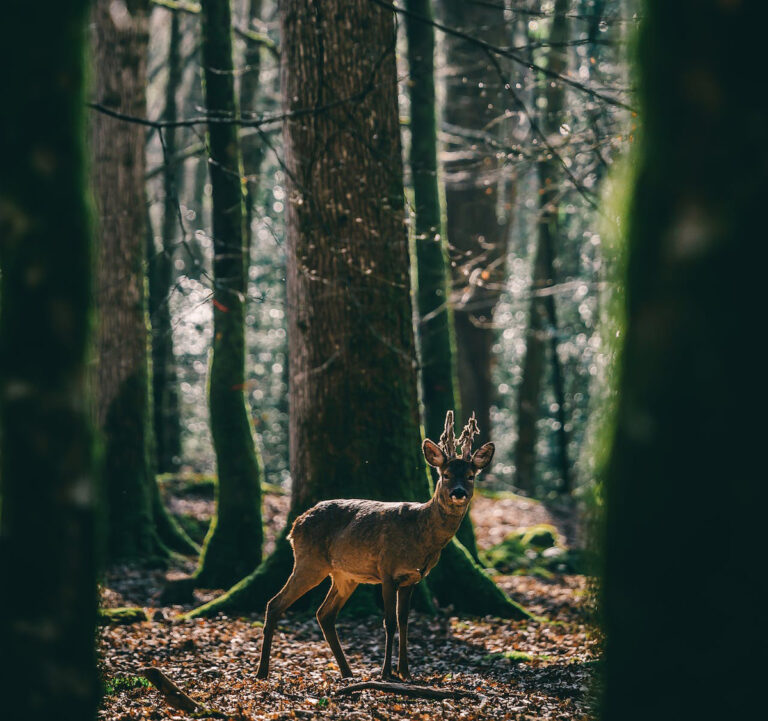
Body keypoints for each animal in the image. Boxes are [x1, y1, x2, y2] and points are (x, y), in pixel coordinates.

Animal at [255, 411, 494, 681]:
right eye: (445, 475)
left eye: (471, 476)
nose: (459, 492)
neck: (421, 535)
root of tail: (295, 525)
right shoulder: (387, 569)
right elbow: (389, 622)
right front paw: (386, 672)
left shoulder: (413, 578)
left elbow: (404, 621)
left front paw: (405, 672)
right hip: (309, 562)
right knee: (275, 604)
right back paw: (262, 671)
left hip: (344, 575)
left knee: (324, 614)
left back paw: (347, 672)